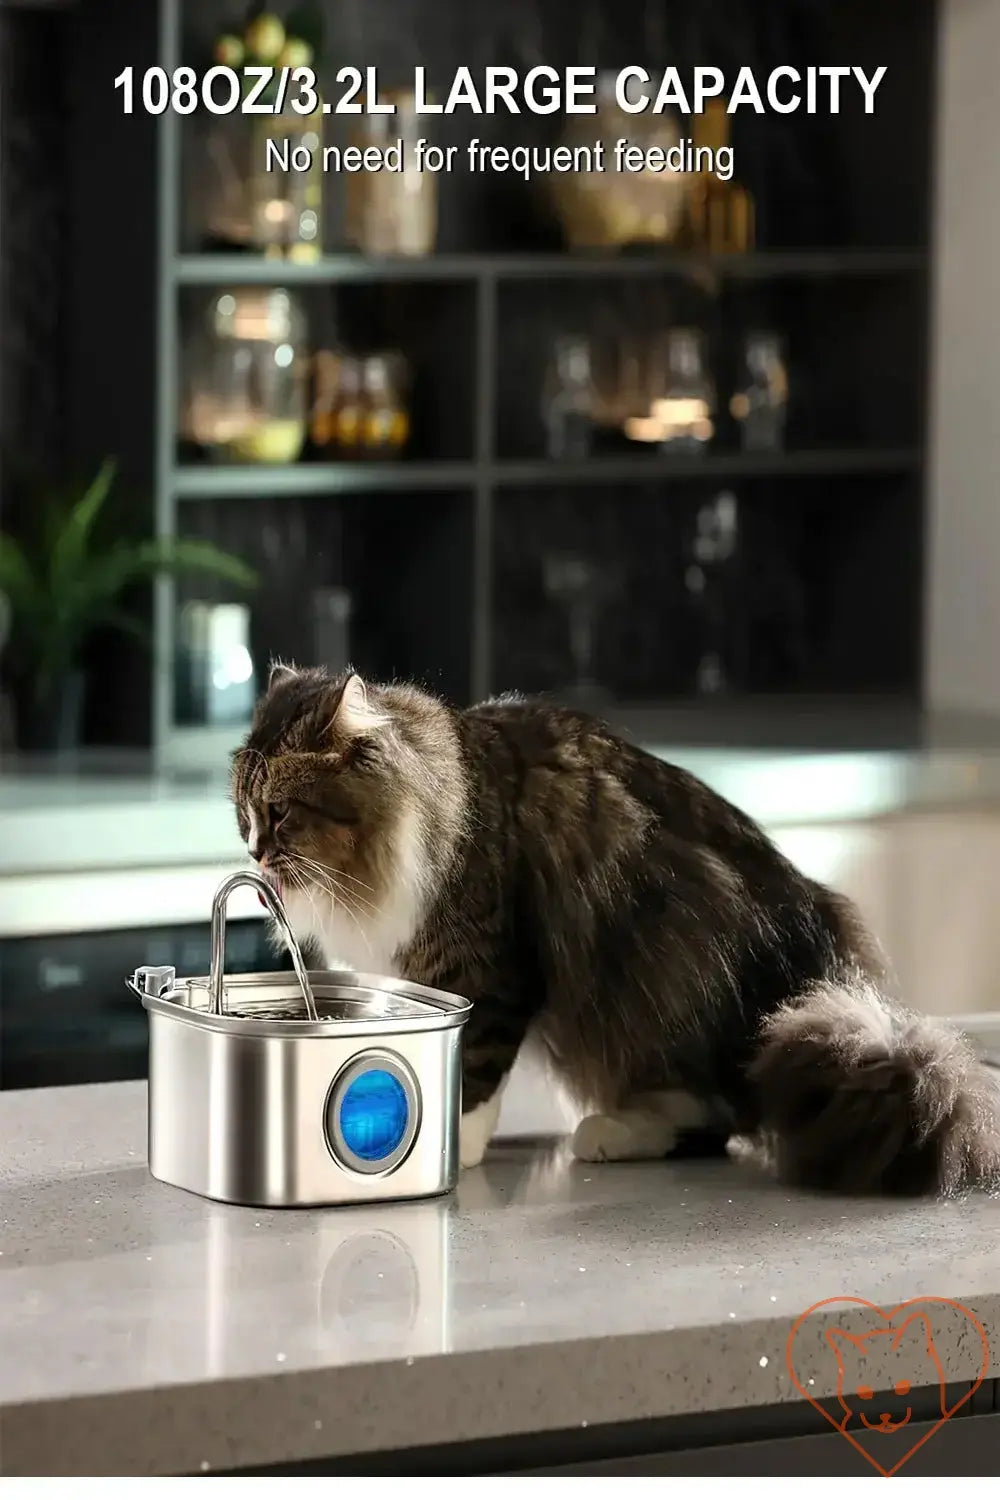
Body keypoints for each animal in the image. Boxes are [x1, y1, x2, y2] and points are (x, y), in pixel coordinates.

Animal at [230, 666, 1000, 1194]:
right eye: (243, 812)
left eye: (281, 812)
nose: (254, 854)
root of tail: (832, 979)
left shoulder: (492, 969)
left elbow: (473, 1066)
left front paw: (455, 1144)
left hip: (672, 955)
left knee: (721, 1118)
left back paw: (613, 1131)